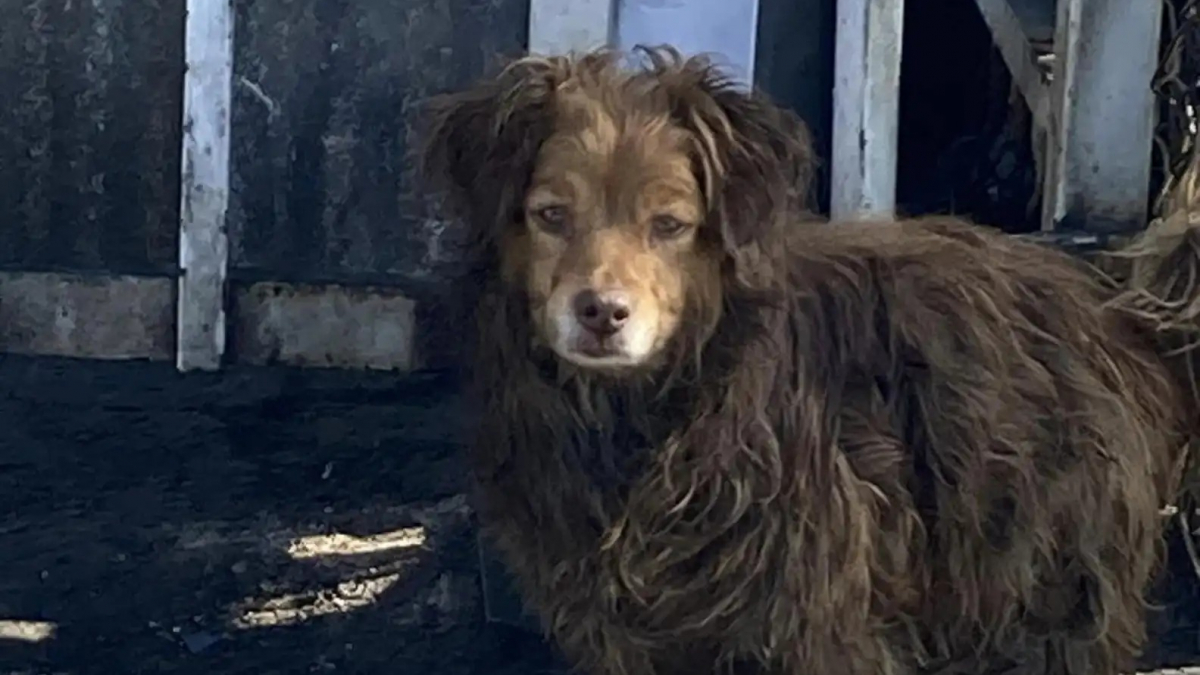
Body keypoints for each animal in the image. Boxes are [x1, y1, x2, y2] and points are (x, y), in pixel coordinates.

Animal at [420, 47, 1200, 672]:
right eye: (551, 216)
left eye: (669, 225)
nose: (602, 313)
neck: (646, 418)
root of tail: (1111, 307)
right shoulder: (617, 629)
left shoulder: (814, 617)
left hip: (1044, 582)